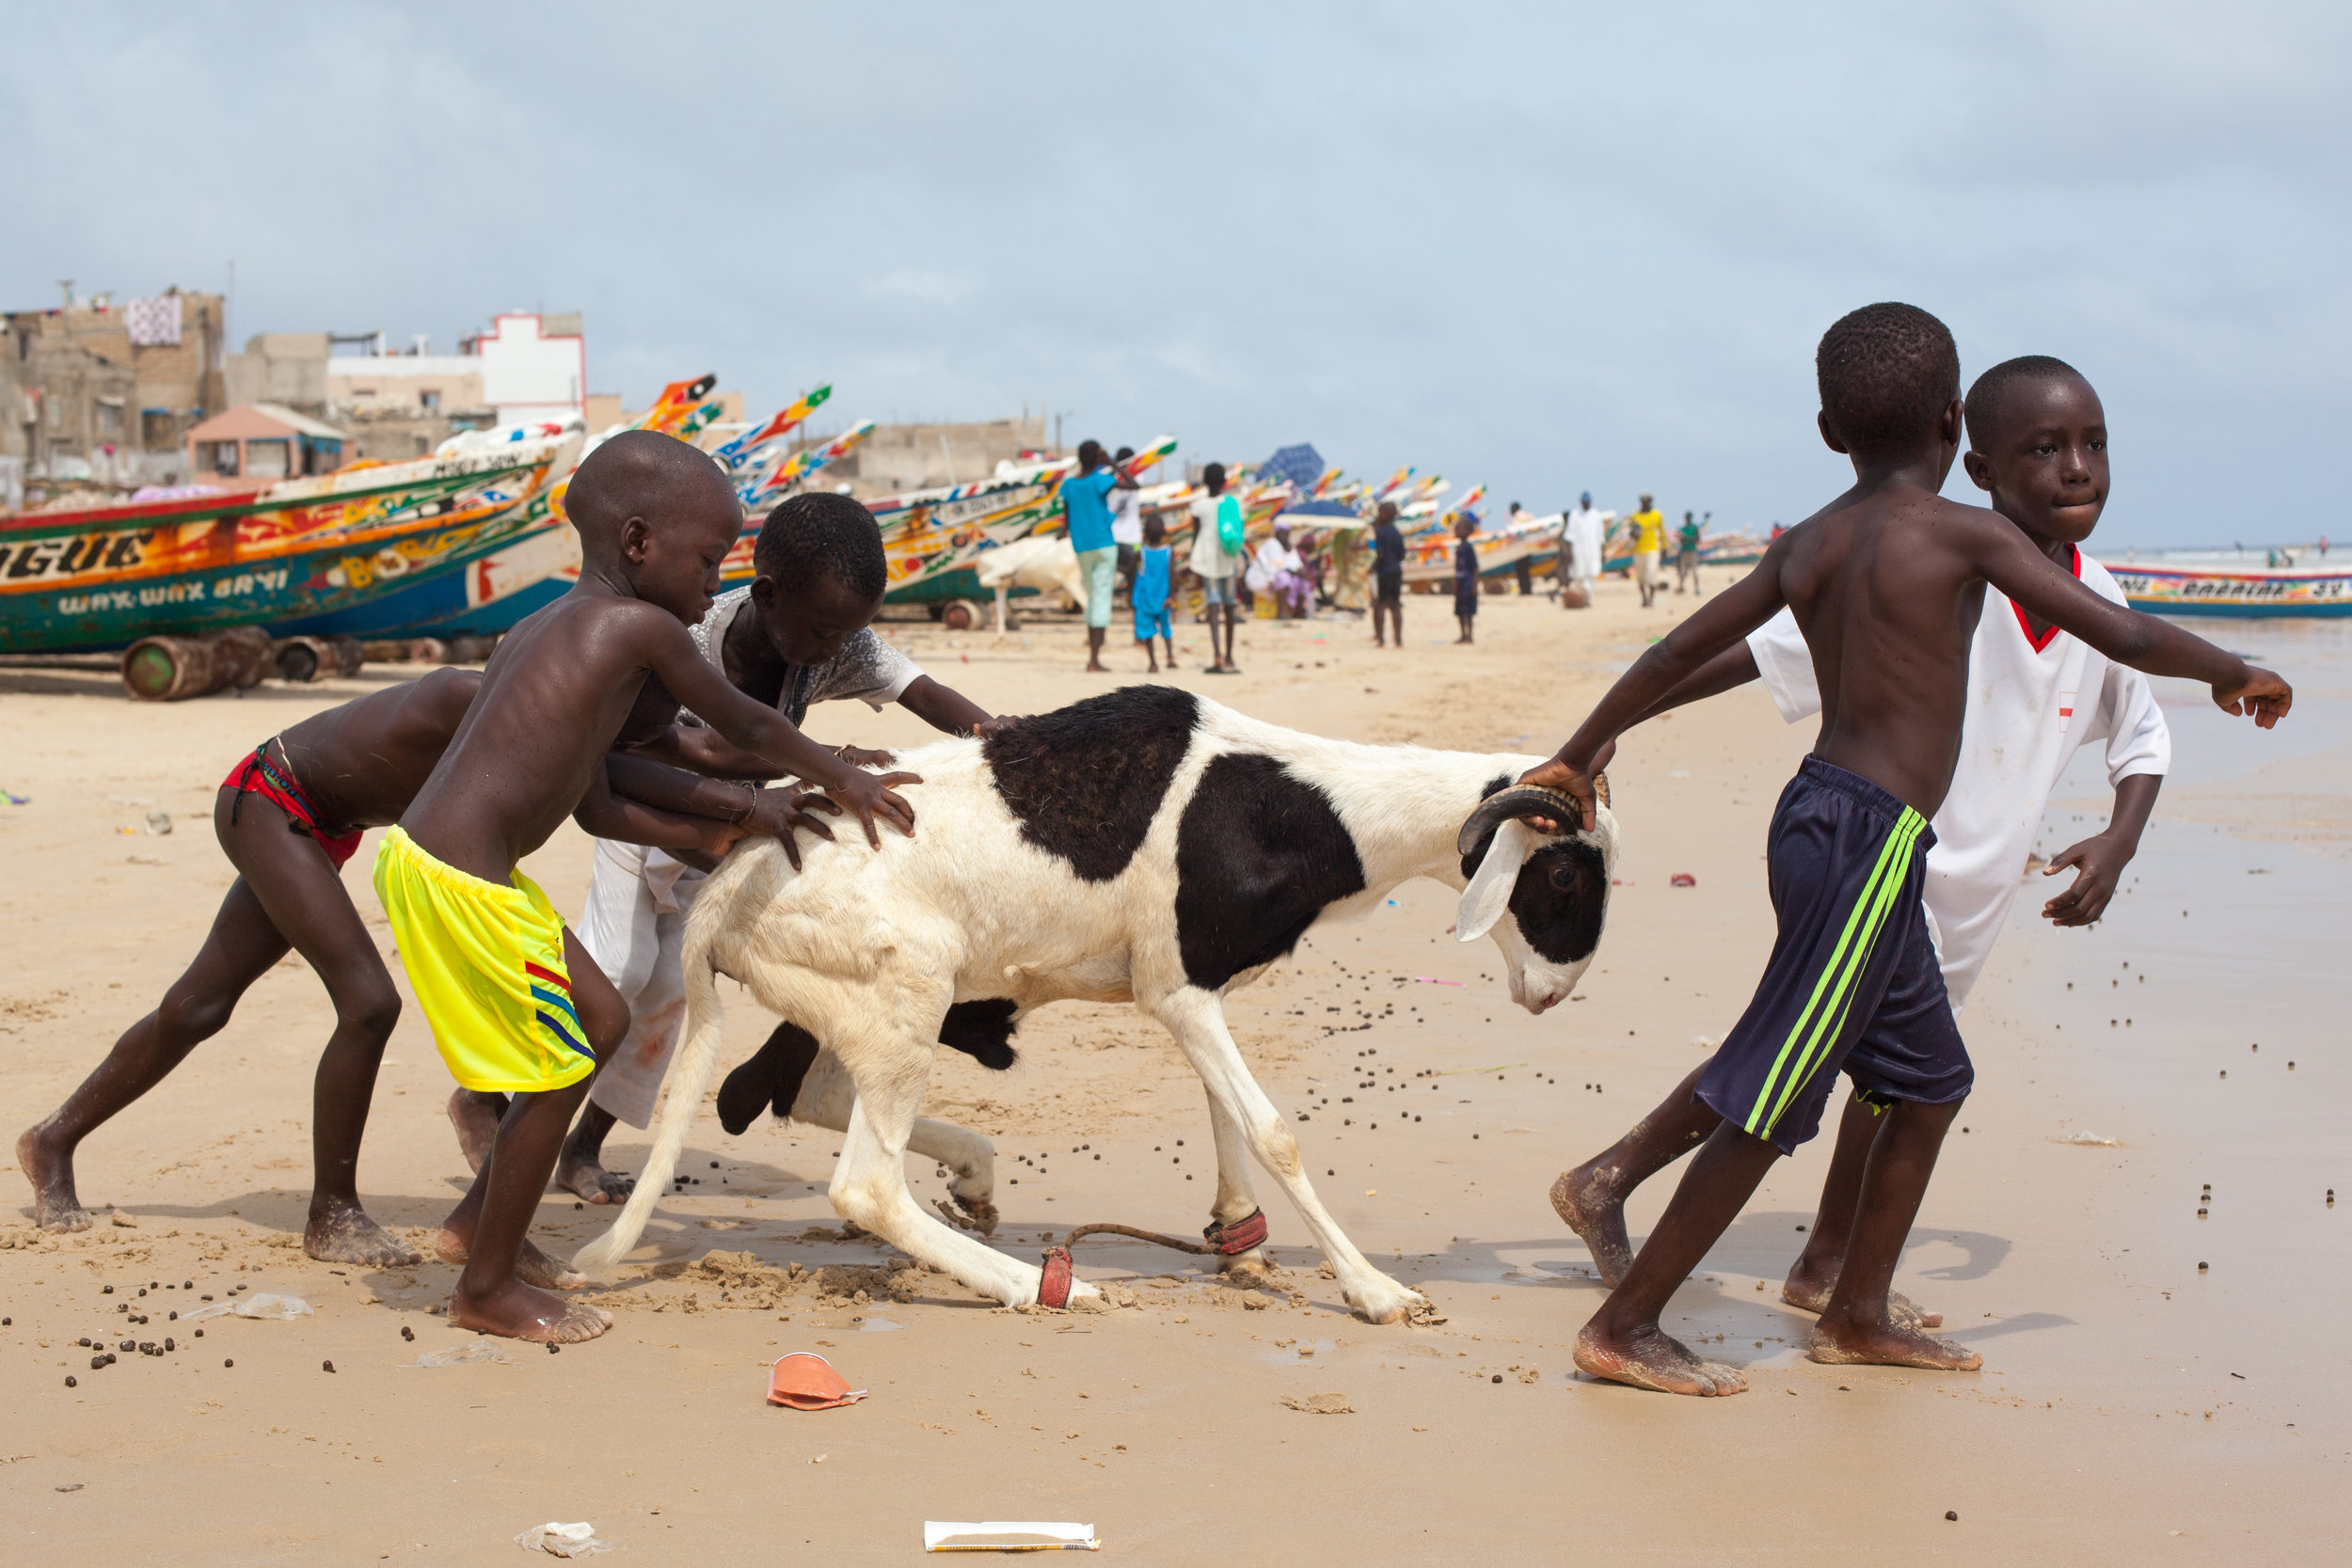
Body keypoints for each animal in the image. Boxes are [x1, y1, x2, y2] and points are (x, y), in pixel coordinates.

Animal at [579, 686, 1628, 1325]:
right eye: (1566, 875)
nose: (1556, 990)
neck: (1290, 801)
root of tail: (739, 870)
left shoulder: (1196, 993)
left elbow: (1227, 1118)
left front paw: (1238, 1244)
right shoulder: (1179, 991)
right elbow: (1273, 1129)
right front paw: (1372, 1288)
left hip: (874, 1003)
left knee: (811, 1097)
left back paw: (978, 1177)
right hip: (912, 985)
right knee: (863, 1185)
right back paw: (1041, 1286)